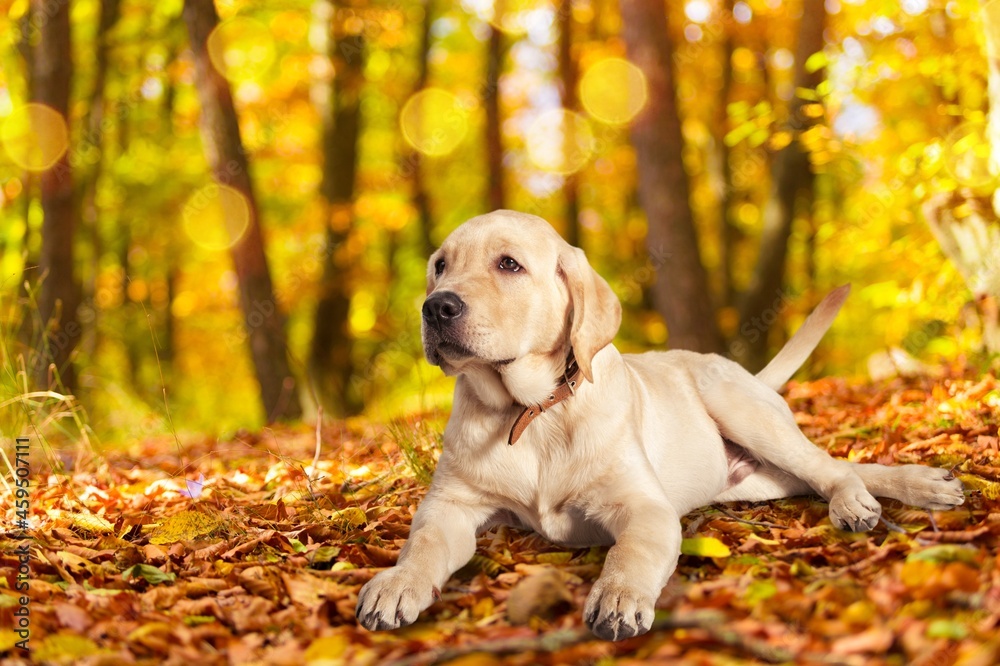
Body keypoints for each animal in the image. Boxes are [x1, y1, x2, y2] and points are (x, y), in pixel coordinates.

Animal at [356, 211, 964, 640]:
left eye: (508, 265)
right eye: (440, 265)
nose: (436, 307)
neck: (530, 412)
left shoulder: (642, 506)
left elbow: (631, 553)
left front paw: (619, 598)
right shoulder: (451, 505)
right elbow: (423, 544)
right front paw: (397, 584)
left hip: (740, 408)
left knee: (828, 467)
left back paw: (874, 497)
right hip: (755, 480)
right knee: (827, 468)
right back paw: (925, 484)